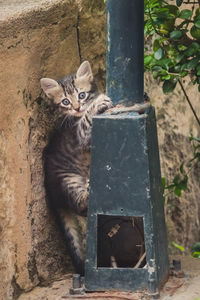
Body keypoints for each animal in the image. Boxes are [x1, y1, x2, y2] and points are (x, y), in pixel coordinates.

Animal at [40, 60, 112, 274]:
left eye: (81, 95)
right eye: (65, 102)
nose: (77, 107)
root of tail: (53, 196)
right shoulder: (80, 135)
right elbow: (87, 119)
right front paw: (97, 104)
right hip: (68, 179)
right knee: (82, 205)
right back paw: (90, 187)